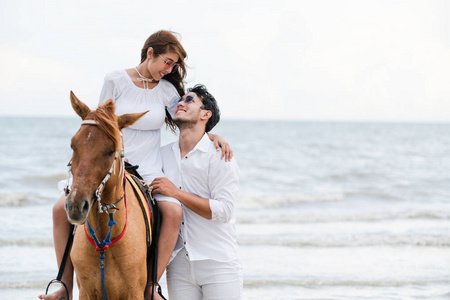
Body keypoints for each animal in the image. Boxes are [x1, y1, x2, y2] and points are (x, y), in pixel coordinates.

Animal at [66, 92, 149, 300]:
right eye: (73, 145)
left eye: (112, 150)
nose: (75, 206)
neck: (104, 241)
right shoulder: (86, 293)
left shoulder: (135, 293)